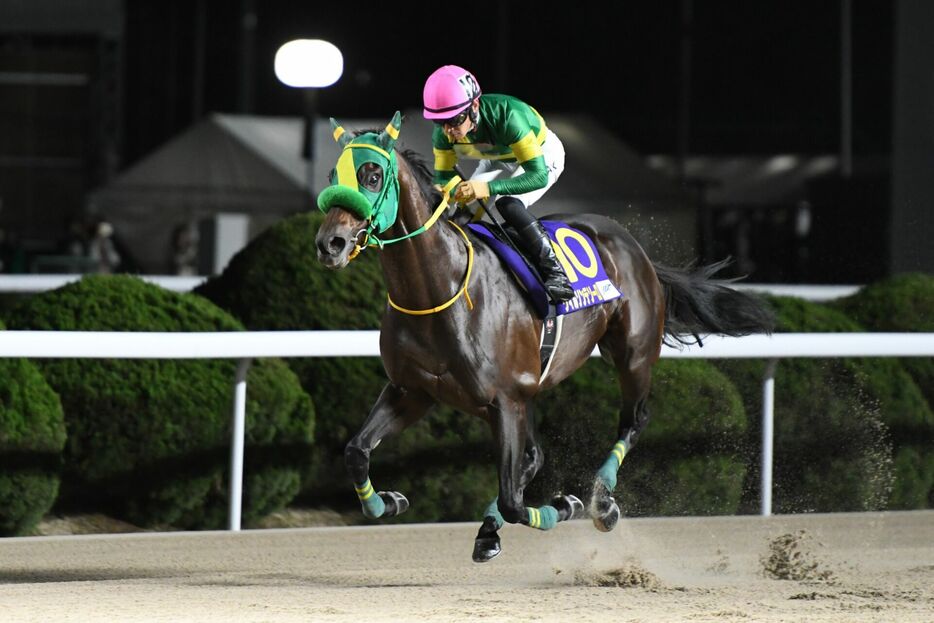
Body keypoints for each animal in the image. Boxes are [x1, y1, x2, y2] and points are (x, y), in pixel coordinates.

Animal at [314, 113, 776, 564]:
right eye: (332, 175)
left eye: (373, 175)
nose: (329, 244)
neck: (437, 289)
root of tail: (635, 247)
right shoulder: (414, 391)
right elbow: (356, 452)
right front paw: (390, 501)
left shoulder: (504, 400)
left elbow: (515, 500)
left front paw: (563, 505)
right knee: (533, 457)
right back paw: (494, 527)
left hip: (631, 354)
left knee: (632, 421)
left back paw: (600, 502)